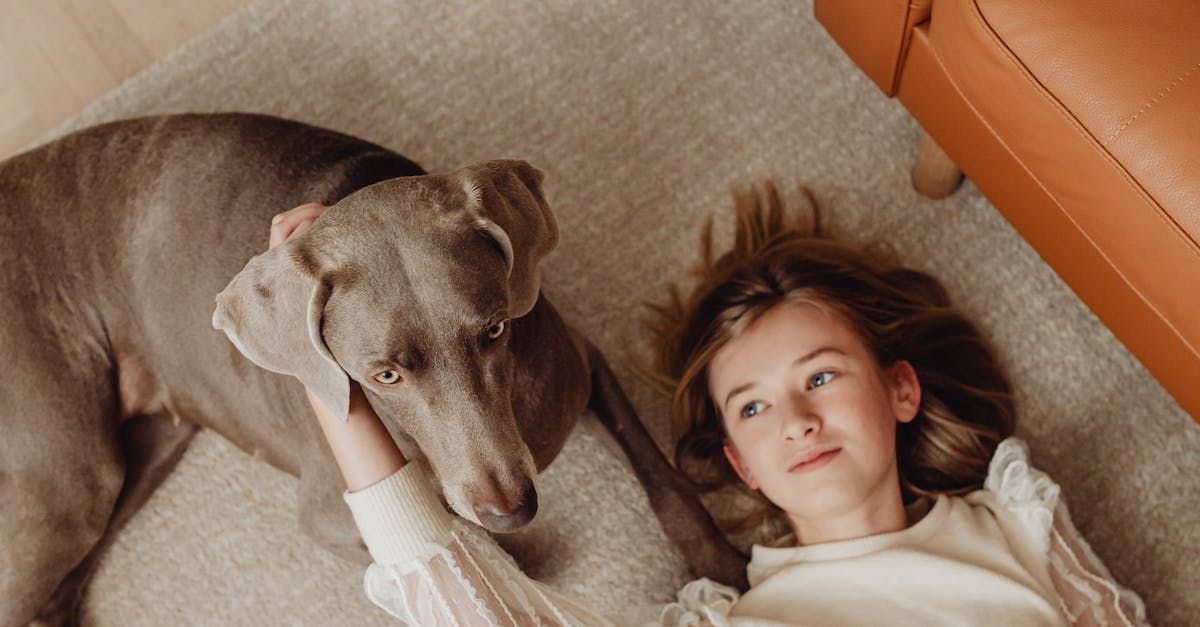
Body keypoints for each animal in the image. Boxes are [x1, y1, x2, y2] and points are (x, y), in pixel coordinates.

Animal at [0, 112, 748, 624]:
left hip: (141, 451)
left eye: (495, 330)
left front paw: (720, 565)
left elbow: (664, 477)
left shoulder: (584, 364)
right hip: (73, 477)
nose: (512, 507)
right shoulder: (330, 514)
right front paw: (509, 554)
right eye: (384, 374)